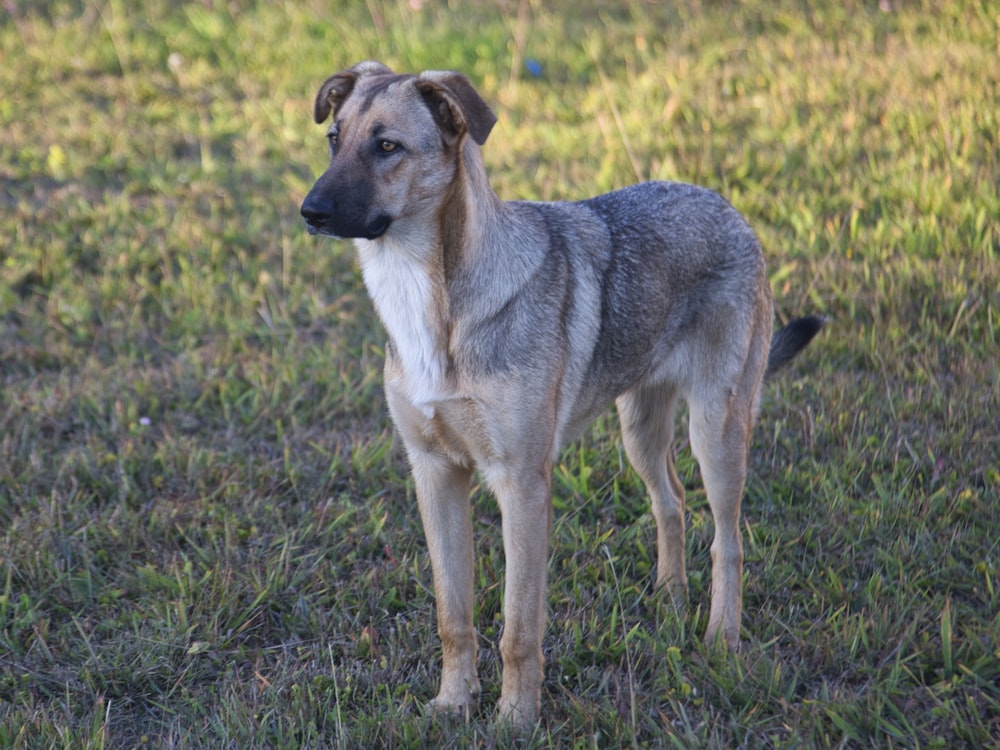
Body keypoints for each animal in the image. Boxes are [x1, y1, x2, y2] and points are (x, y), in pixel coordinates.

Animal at [300, 61, 824, 732]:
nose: (309, 211)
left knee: (727, 540)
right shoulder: (435, 473)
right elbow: (453, 615)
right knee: (672, 502)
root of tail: (728, 207)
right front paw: (453, 702)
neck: (435, 300)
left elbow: (519, 628)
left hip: (717, 429)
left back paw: (720, 640)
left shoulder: (522, 485)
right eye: (334, 138)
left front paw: (514, 719)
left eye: (387, 146)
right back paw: (670, 600)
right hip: (638, 429)